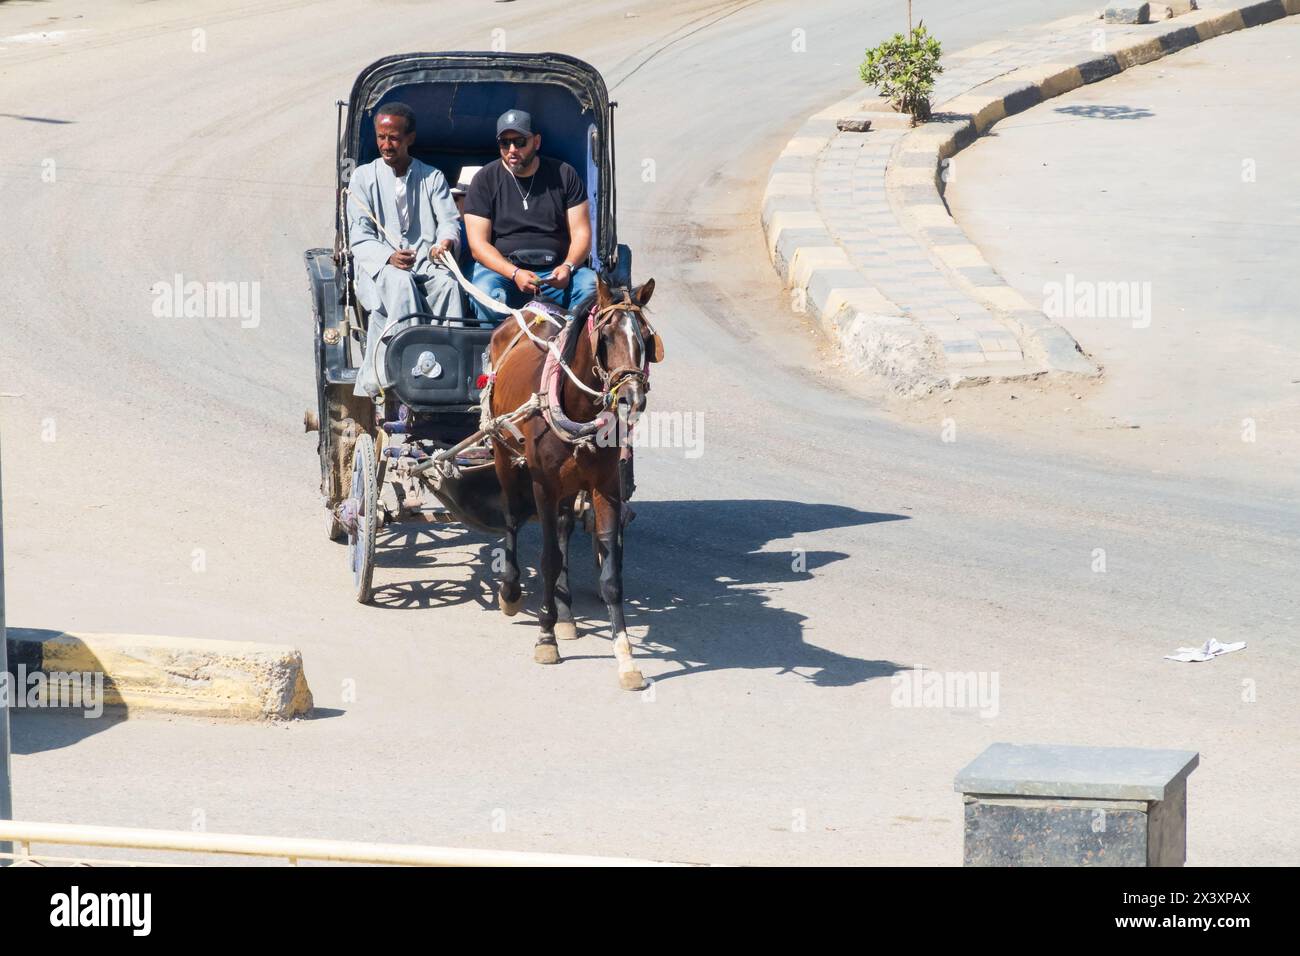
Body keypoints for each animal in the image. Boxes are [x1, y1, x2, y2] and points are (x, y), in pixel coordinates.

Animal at [488, 274, 670, 686]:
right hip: (504, 454)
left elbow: (611, 574)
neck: (579, 412)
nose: (631, 398)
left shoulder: (606, 489)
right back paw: (511, 591)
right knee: (510, 518)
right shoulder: (543, 486)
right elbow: (548, 558)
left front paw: (625, 657)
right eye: (606, 337)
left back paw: (566, 611)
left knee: (563, 527)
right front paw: (545, 637)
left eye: (645, 338)